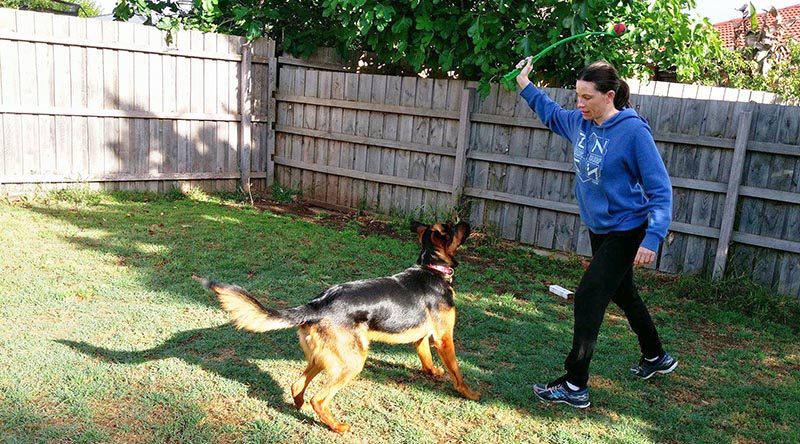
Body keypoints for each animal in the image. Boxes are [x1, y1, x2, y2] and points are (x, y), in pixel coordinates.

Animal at [192, 220, 482, 432]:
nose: (467, 221)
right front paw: (469, 393)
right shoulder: (444, 338)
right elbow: (456, 370)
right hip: (353, 362)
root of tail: (317, 303)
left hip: (324, 357)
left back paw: (299, 407)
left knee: (298, 386)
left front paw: (433, 373)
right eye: (453, 227)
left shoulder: (421, 338)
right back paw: (336, 426)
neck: (432, 268)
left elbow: (426, 359)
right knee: (318, 398)